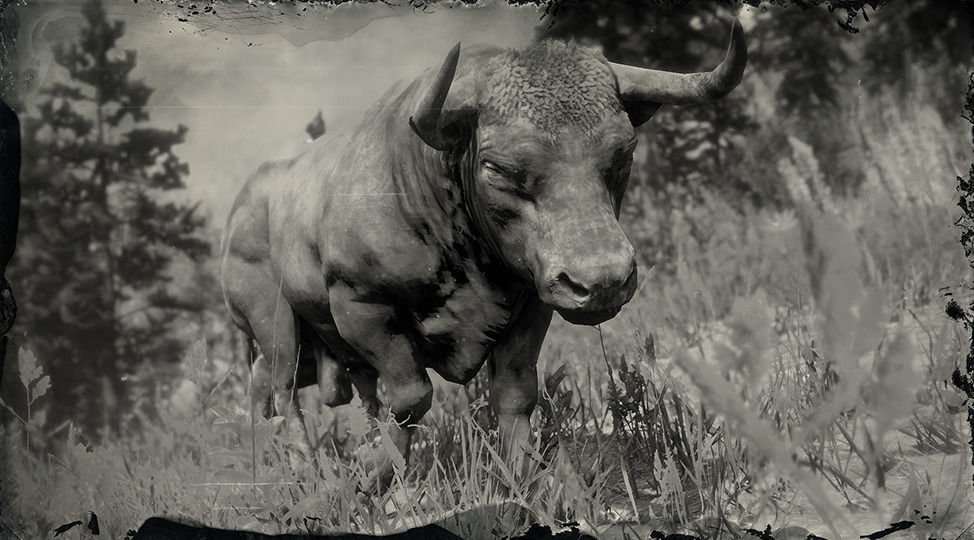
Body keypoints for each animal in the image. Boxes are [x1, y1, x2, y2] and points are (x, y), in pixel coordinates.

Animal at [220, 21, 747, 483]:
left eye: (624, 153)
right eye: (498, 168)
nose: (602, 282)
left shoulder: (533, 303)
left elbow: (514, 396)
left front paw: (524, 477)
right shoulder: (362, 306)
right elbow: (411, 396)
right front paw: (375, 473)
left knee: (287, 388)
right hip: (274, 323)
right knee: (283, 390)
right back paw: (301, 461)